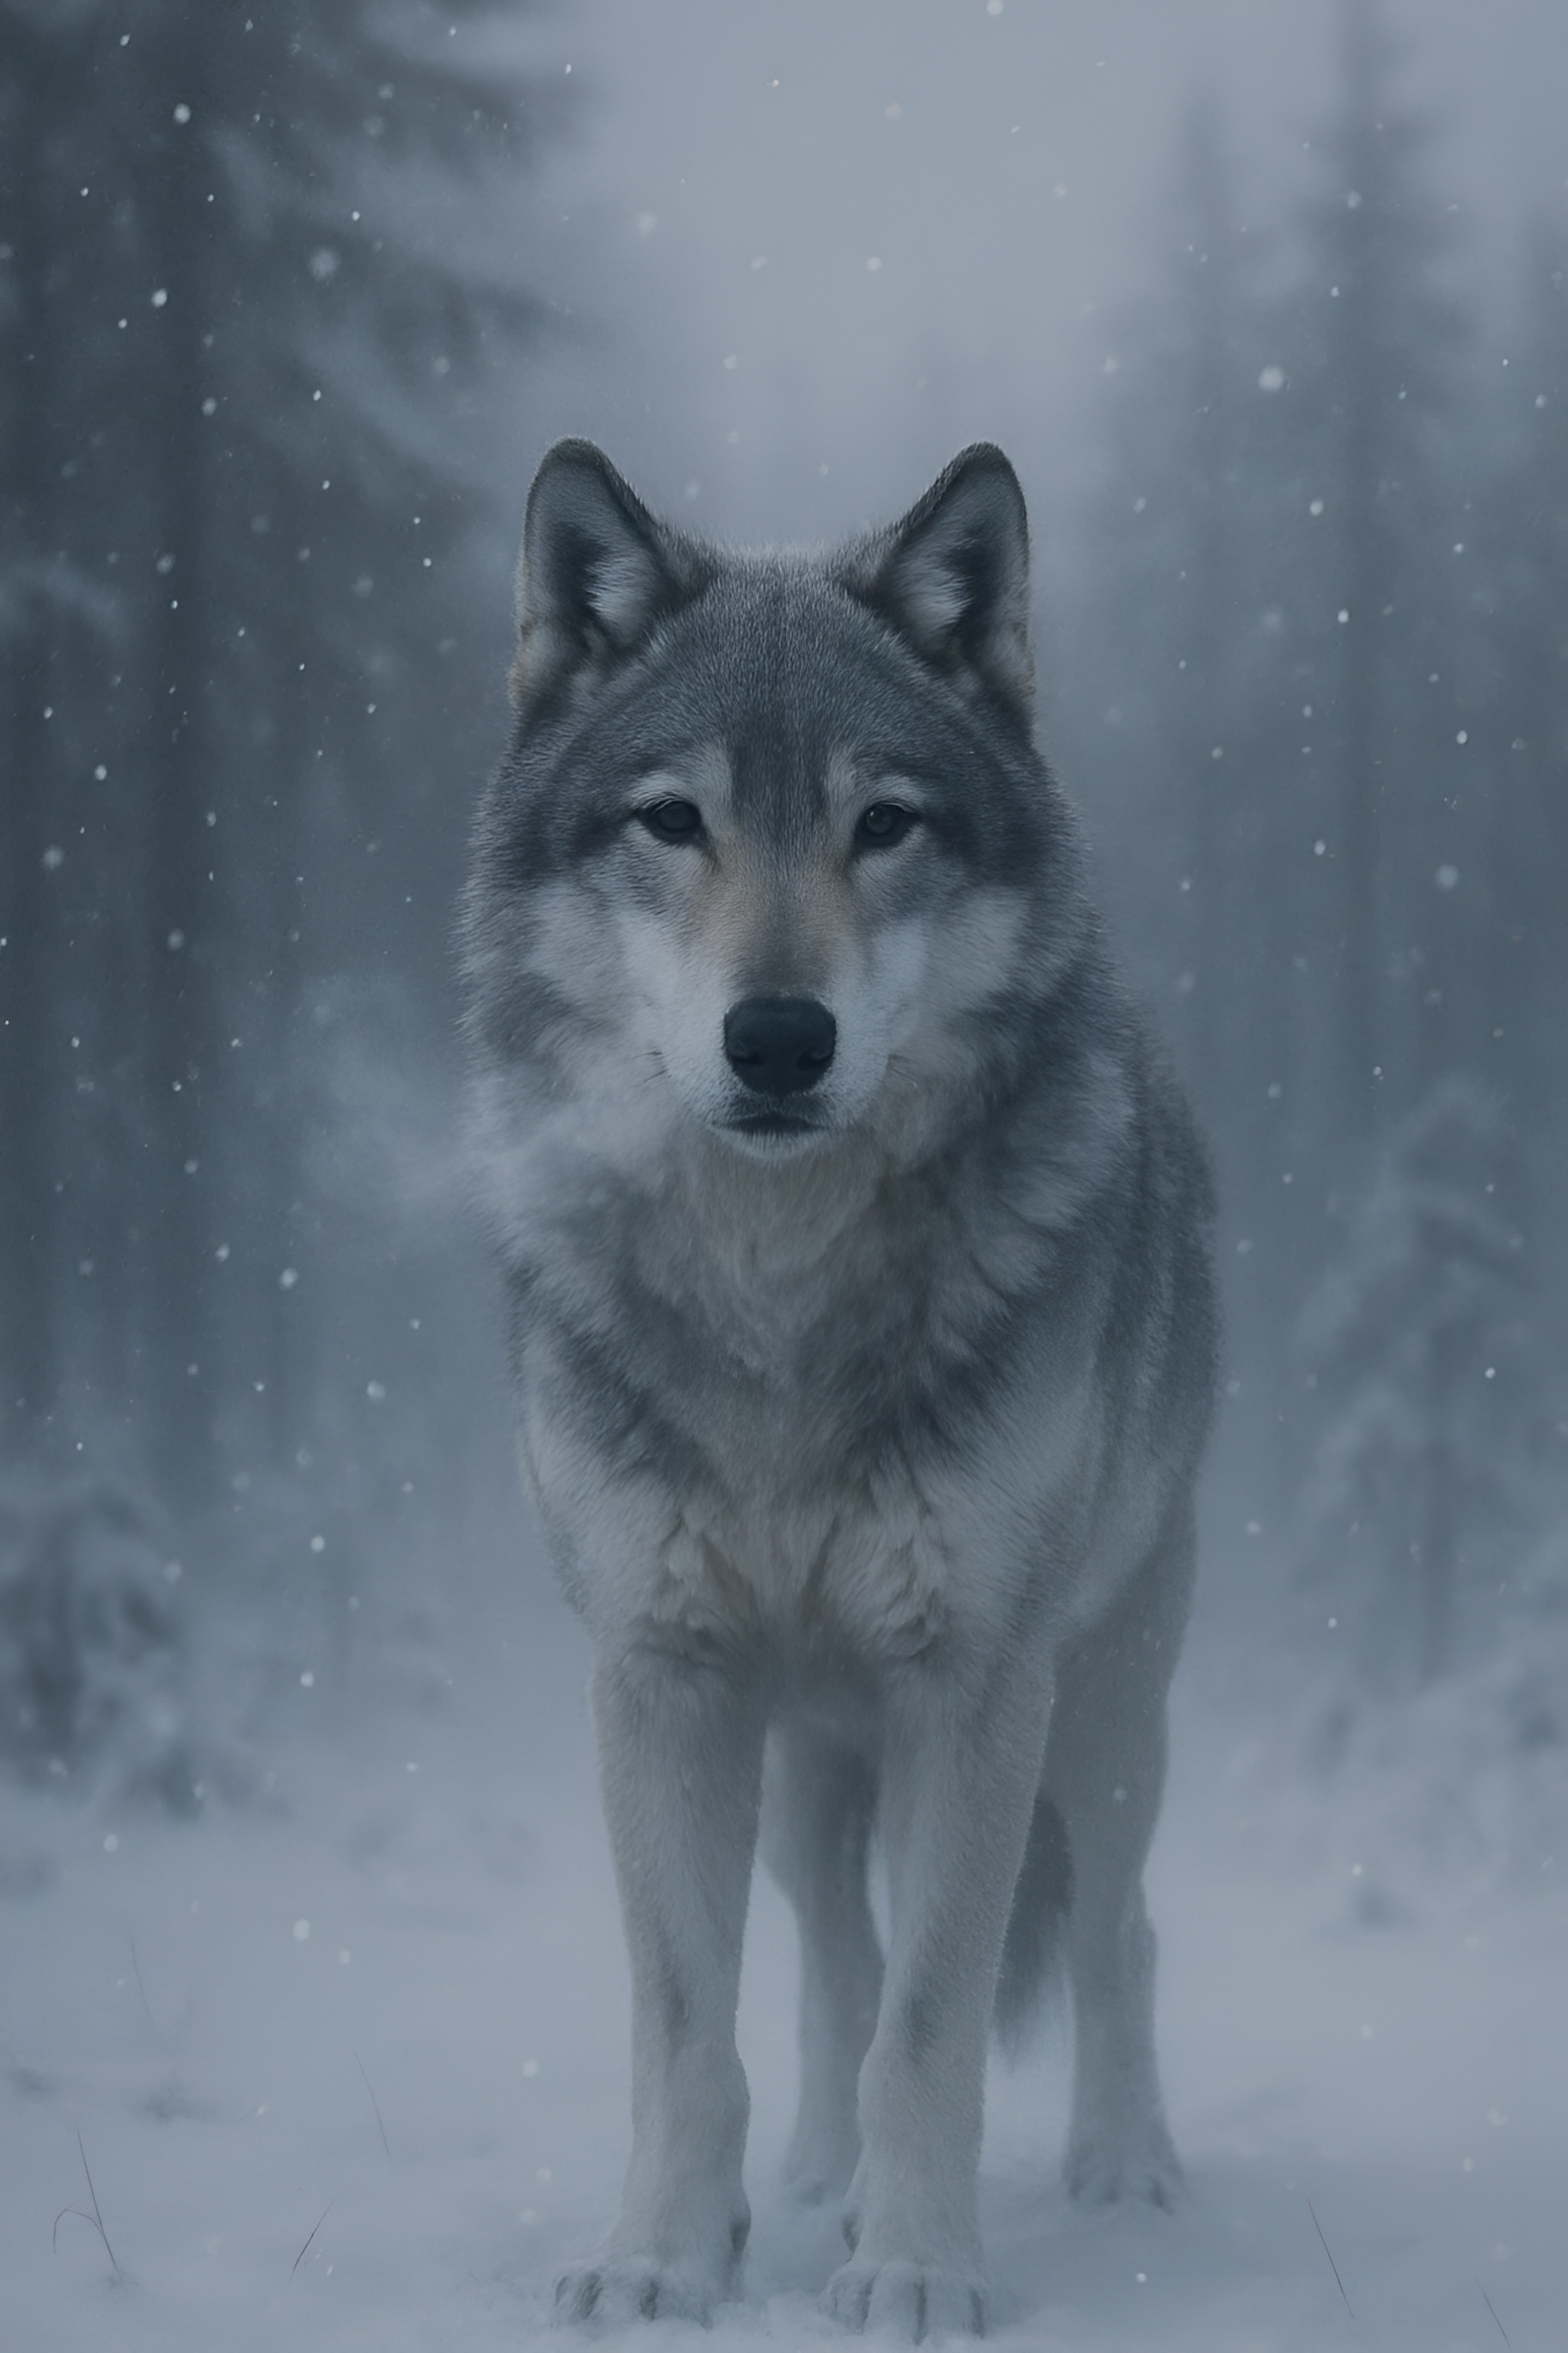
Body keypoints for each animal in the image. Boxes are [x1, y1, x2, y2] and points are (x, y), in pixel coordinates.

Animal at [462, 440, 1217, 2339]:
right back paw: (806, 2183)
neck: (776, 1309)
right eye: (674, 822)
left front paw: (919, 2270)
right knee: (827, 1961)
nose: (780, 1039)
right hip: (811, 1759)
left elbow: (934, 2025)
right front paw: (667, 2257)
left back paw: (1124, 2173)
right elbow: (697, 2026)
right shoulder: (663, 1679)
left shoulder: (973, 1682)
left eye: (886, 824)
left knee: (1115, 1931)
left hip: (1104, 1711)